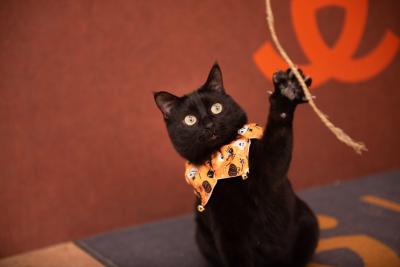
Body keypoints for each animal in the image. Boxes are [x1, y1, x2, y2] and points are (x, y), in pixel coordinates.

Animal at [153, 63, 318, 266]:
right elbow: (237, 258)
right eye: (190, 120)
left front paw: (287, 91)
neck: (222, 162)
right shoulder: (227, 230)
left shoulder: (269, 169)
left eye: (217, 108)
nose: (209, 124)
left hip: (309, 222)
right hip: (202, 237)